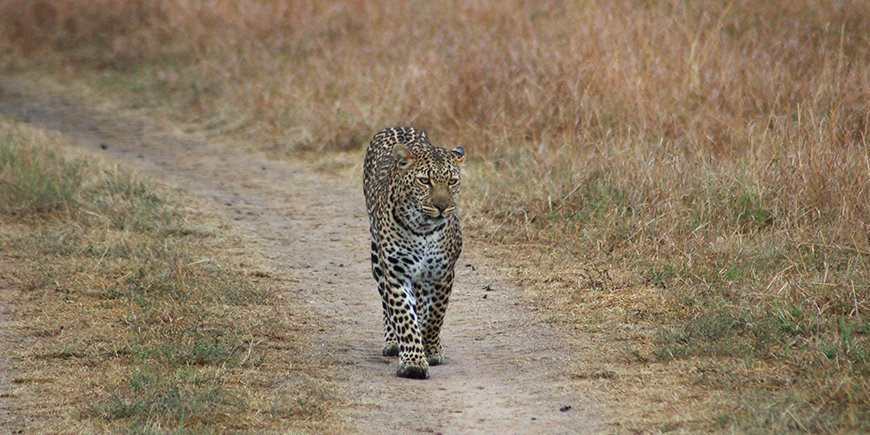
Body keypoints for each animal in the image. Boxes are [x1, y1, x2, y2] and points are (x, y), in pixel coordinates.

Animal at [363, 126, 465, 380]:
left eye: (452, 181)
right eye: (424, 181)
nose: (442, 207)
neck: (423, 228)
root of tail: (396, 126)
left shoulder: (443, 273)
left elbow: (435, 315)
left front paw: (431, 349)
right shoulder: (396, 273)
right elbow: (403, 315)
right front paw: (413, 362)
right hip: (377, 259)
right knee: (386, 304)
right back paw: (392, 341)